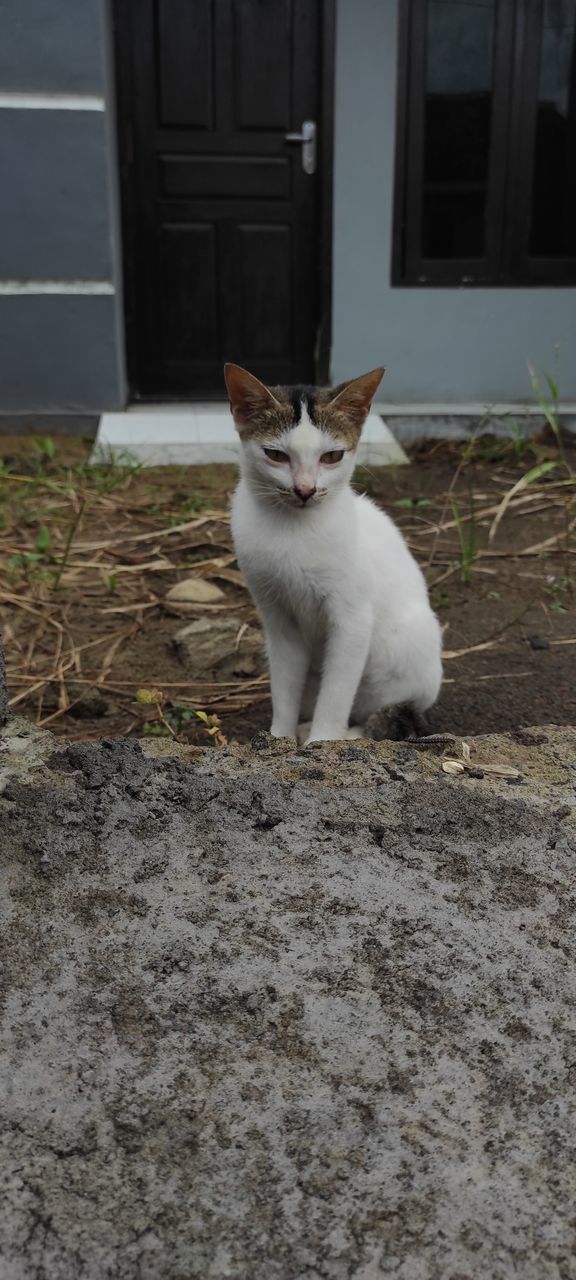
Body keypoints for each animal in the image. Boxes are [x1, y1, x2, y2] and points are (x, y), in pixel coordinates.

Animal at [224, 360, 440, 747]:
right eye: (276, 455)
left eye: (332, 457)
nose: (305, 490)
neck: (293, 529)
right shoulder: (278, 619)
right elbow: (284, 687)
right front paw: (279, 737)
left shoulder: (352, 619)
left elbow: (336, 692)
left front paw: (322, 741)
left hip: (405, 647)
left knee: (385, 715)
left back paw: (349, 733)